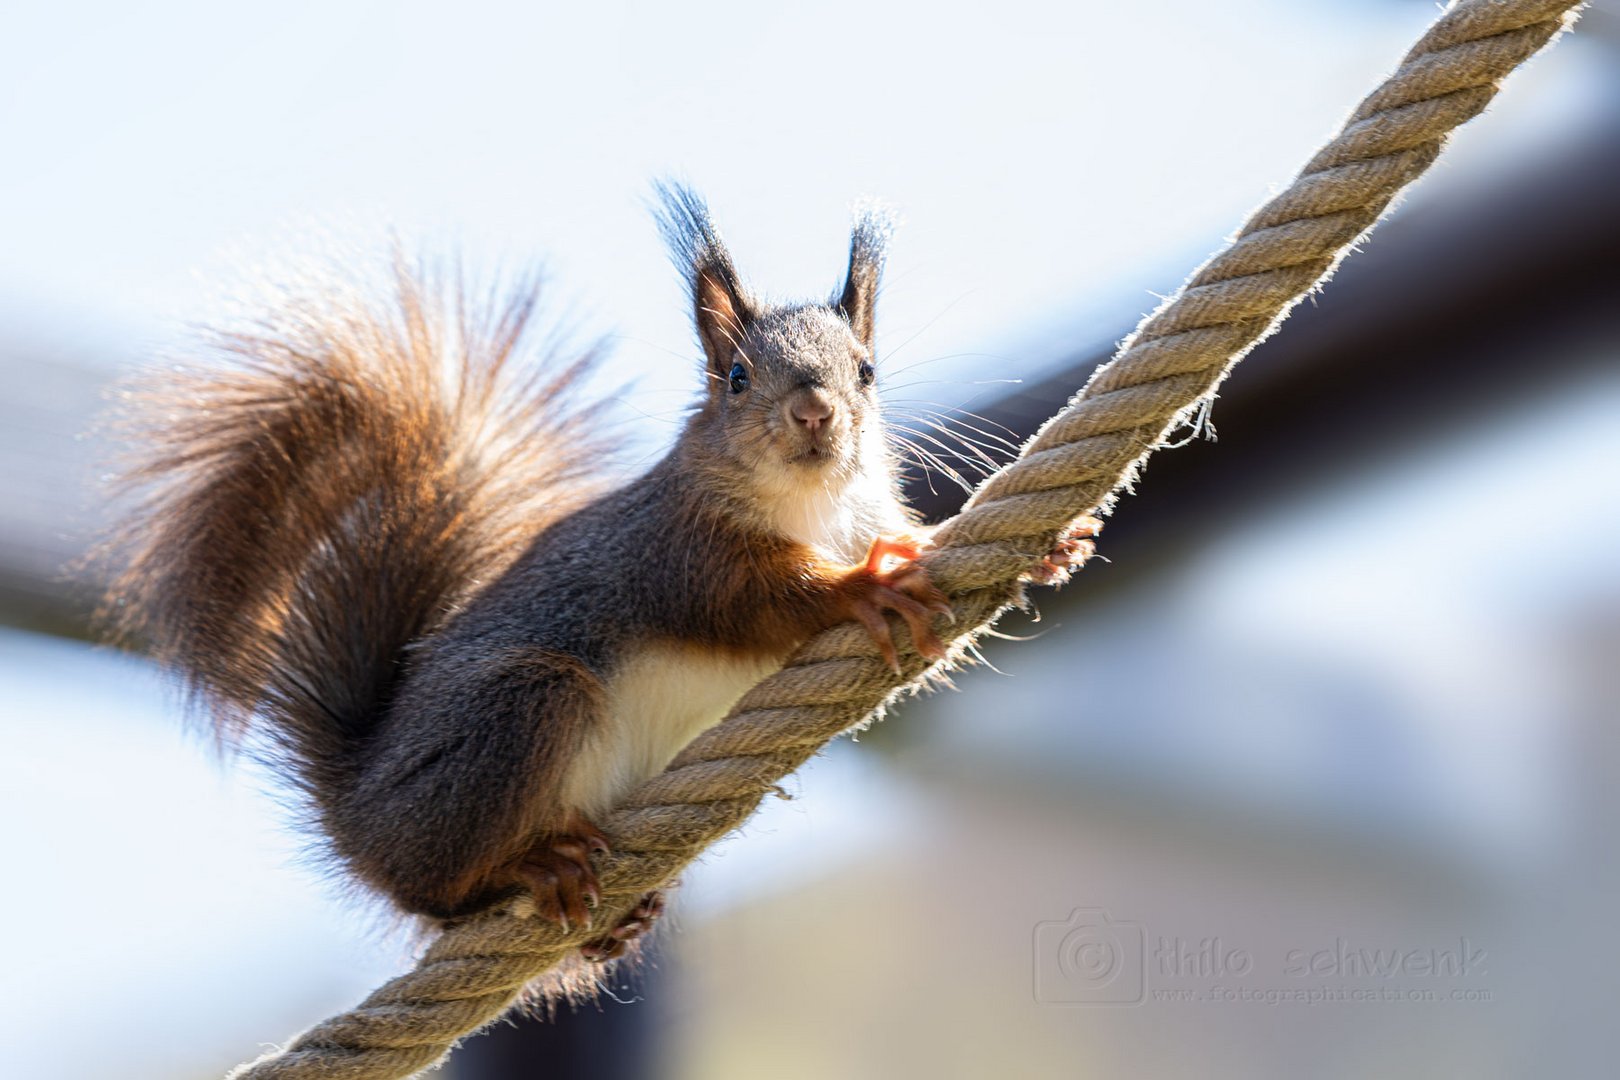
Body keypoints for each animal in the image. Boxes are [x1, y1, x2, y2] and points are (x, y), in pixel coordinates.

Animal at [104, 186, 1101, 965]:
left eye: (866, 369)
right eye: (736, 377)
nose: (814, 411)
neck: (809, 508)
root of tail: (358, 820)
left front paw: (1053, 546)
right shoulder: (678, 553)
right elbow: (760, 602)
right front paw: (862, 584)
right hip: (523, 707)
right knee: (441, 888)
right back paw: (529, 866)